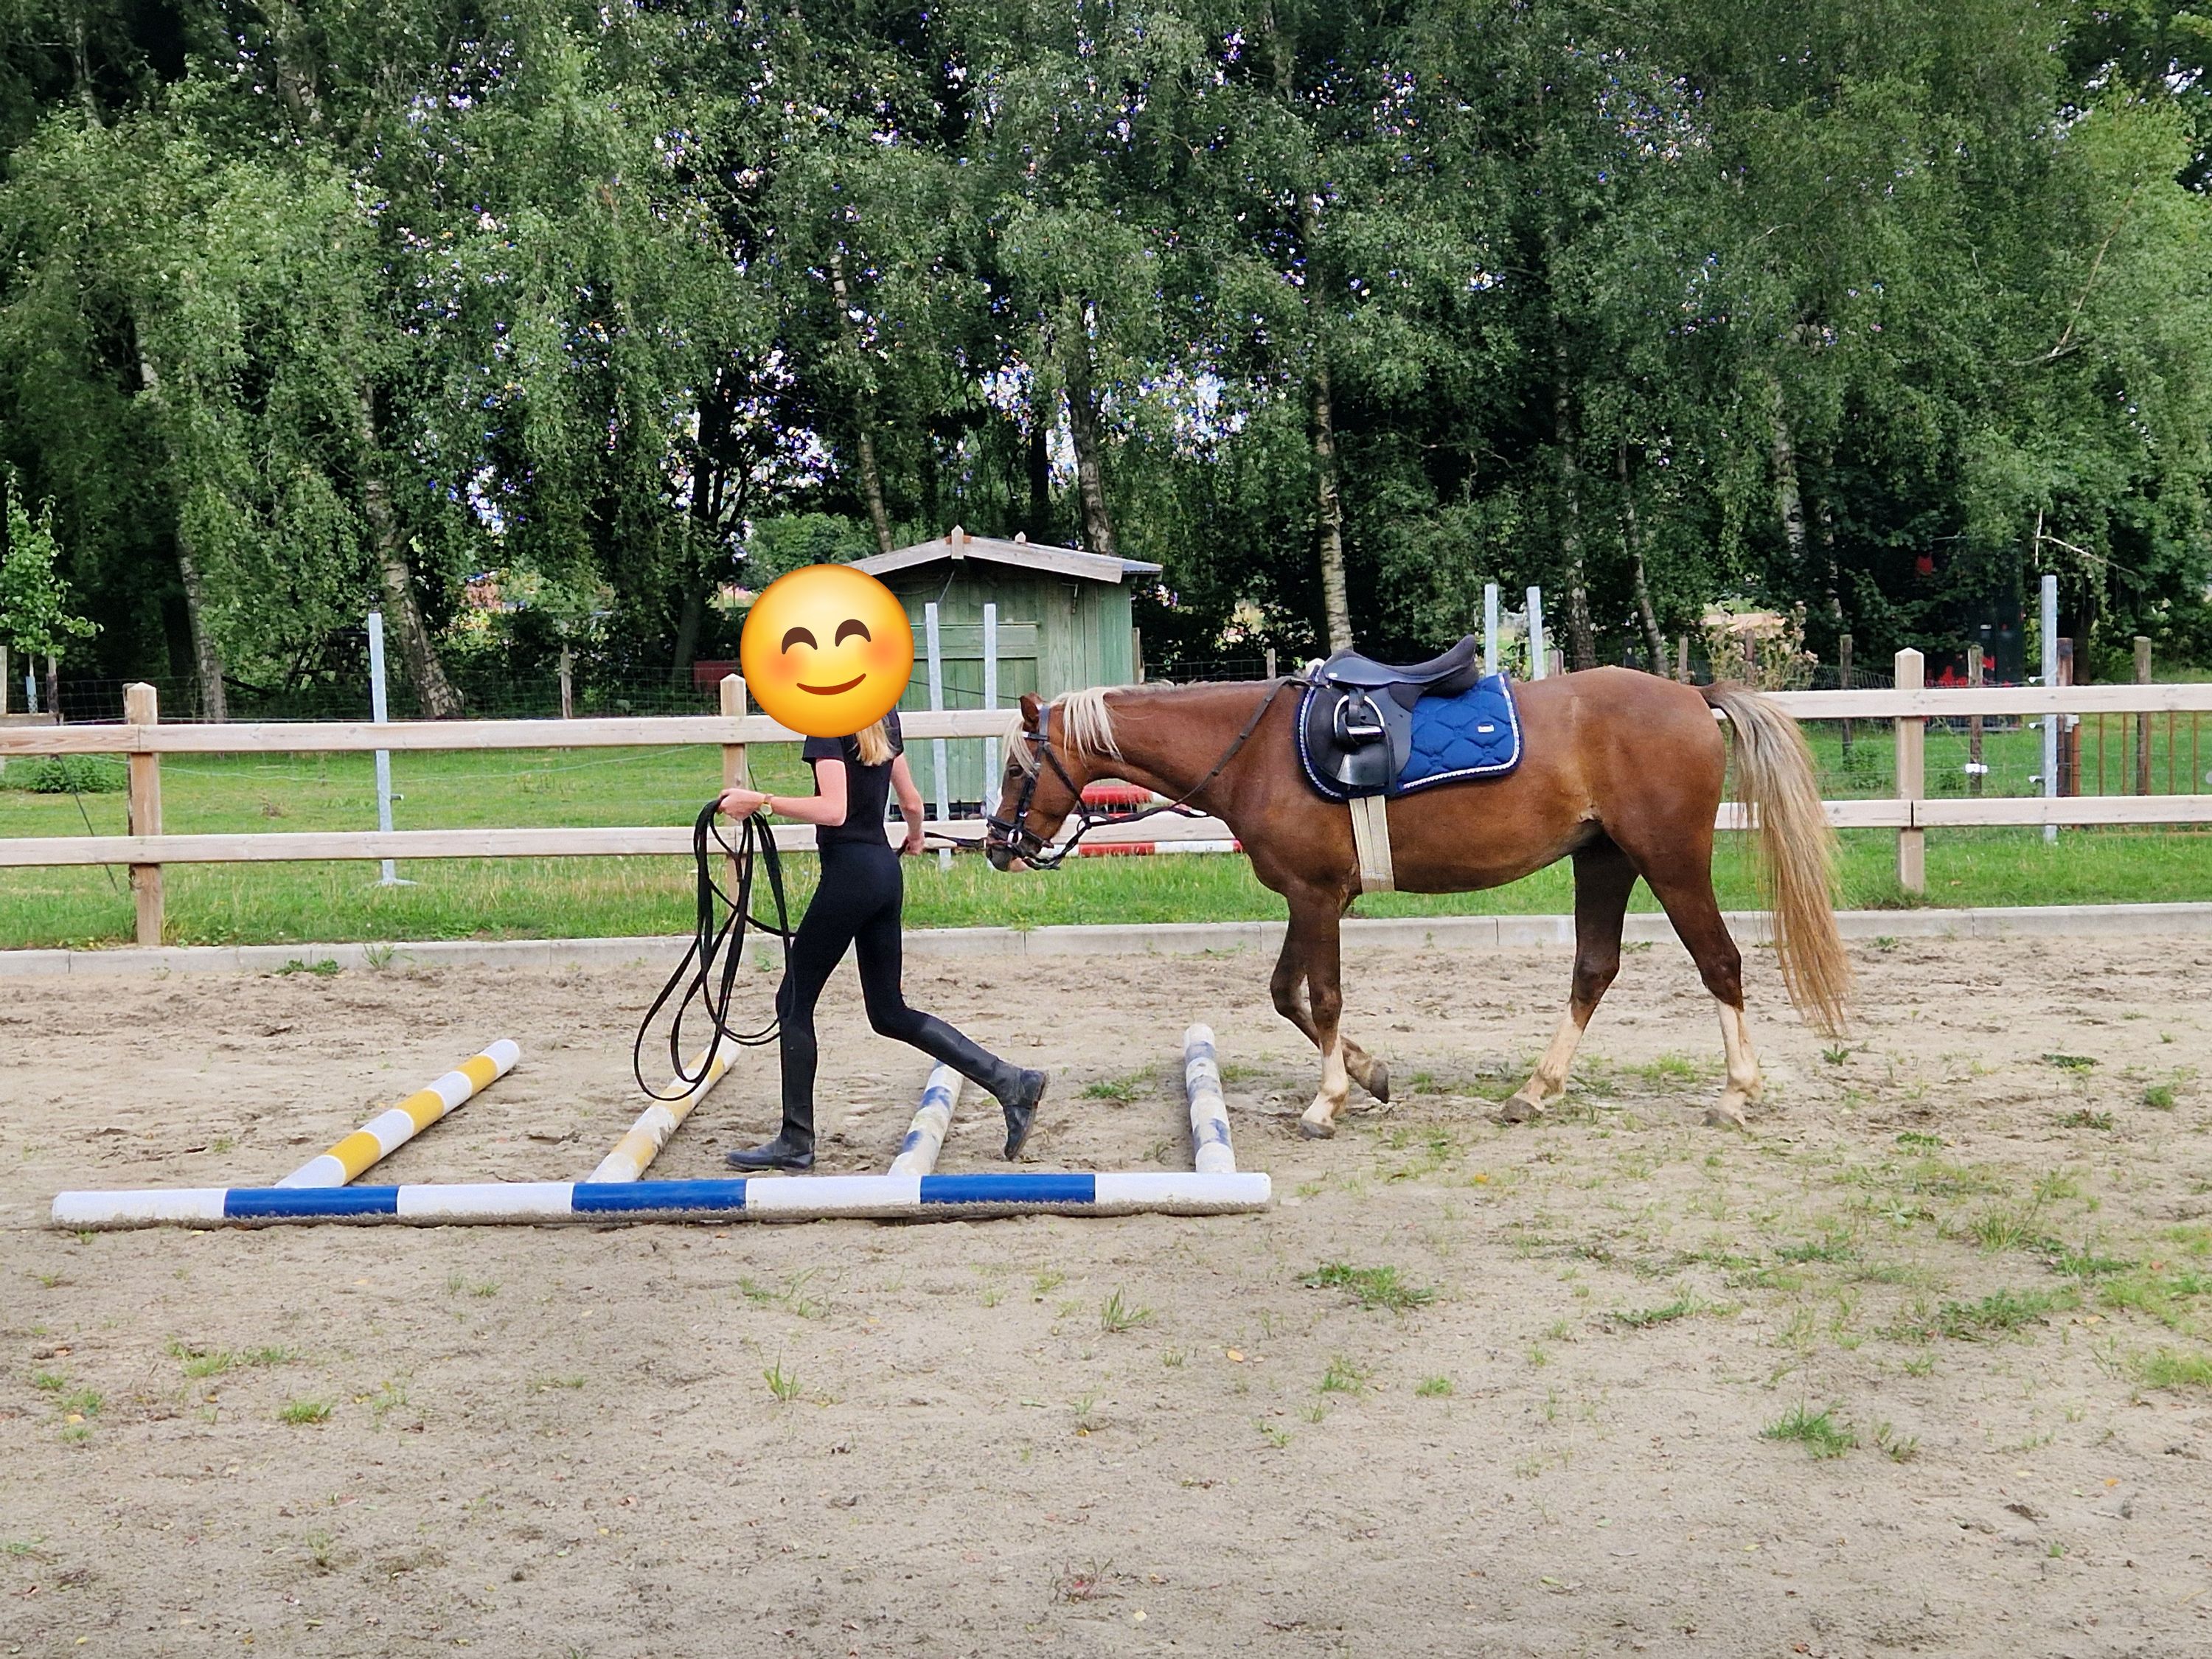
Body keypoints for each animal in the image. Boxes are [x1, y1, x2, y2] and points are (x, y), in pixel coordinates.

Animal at [983, 667, 1850, 1136]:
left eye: (1017, 768)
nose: (996, 844)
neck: (1255, 751)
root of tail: (1691, 695)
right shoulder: (1312, 899)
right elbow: (1287, 994)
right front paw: (1371, 1075)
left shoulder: (1316, 898)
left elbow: (1322, 996)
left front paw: (1329, 1101)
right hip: (1604, 862)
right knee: (1594, 969)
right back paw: (1535, 1091)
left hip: (1669, 863)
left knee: (1720, 963)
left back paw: (1735, 1094)